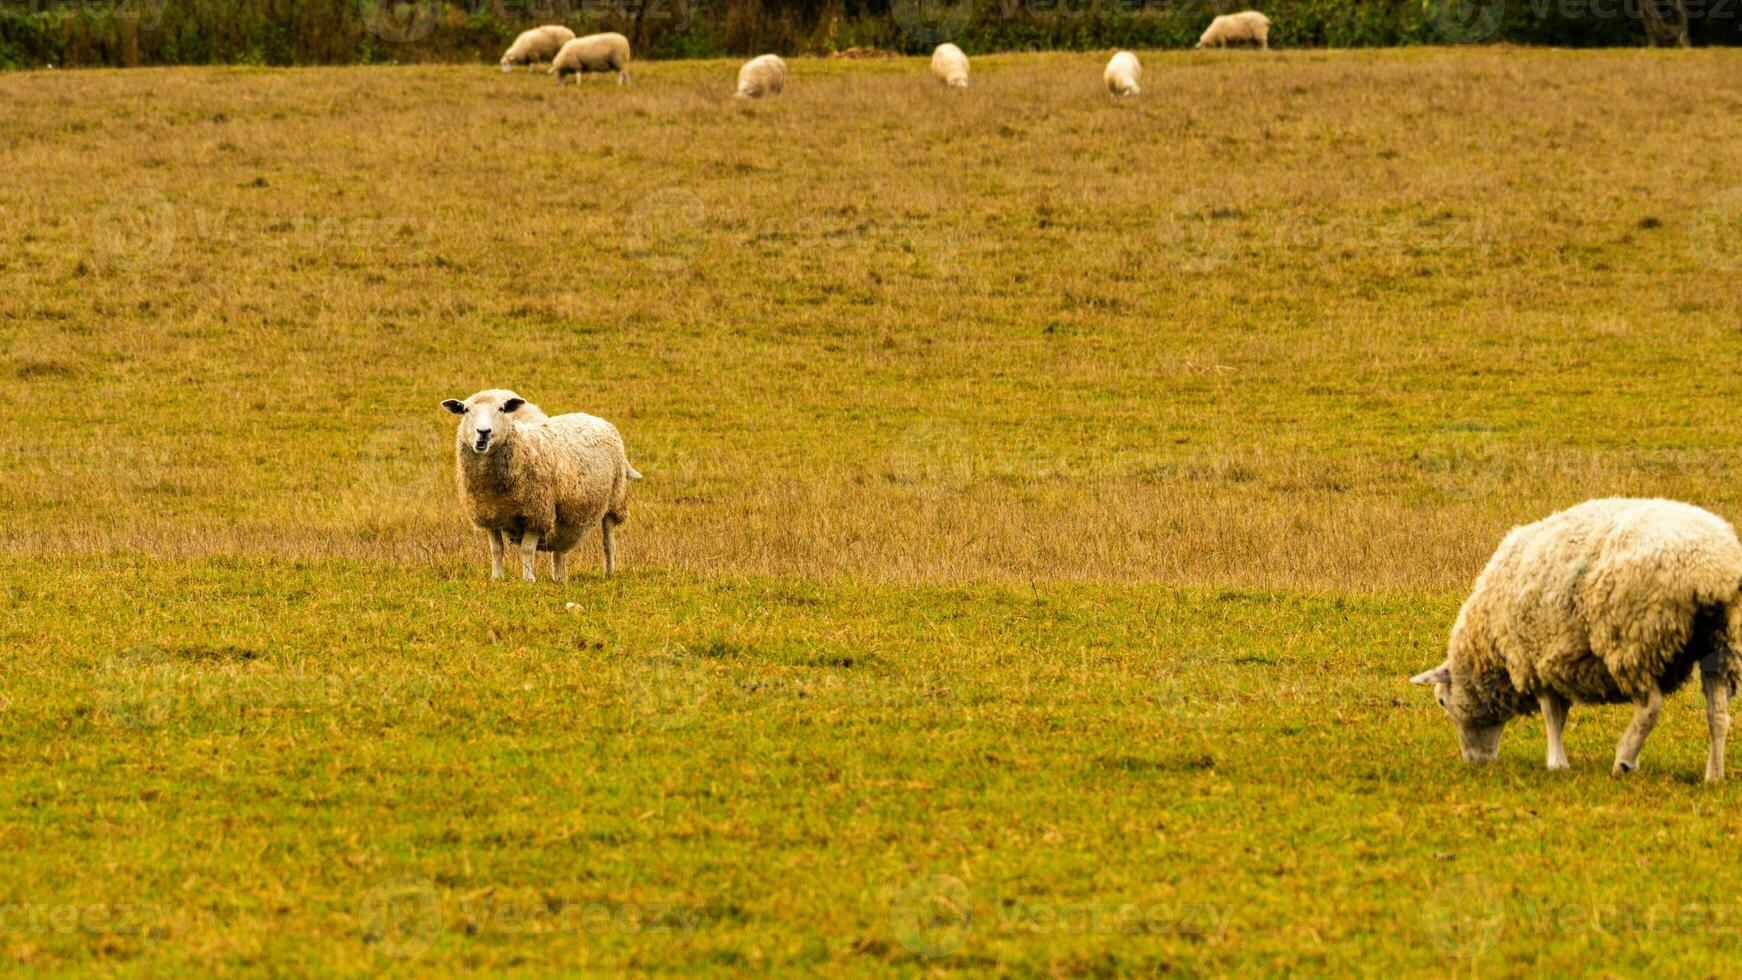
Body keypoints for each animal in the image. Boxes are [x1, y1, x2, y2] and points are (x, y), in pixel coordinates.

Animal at [438, 384, 644, 581]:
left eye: (502, 409)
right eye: (466, 410)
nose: (483, 432)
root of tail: (596, 418)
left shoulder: (536, 514)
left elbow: (527, 550)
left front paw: (528, 579)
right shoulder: (489, 516)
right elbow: (496, 550)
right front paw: (497, 577)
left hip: (614, 500)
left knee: (608, 542)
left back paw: (609, 572)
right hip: (565, 515)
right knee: (560, 548)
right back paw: (559, 578)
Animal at [1407, 497, 1742, 783]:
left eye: (1442, 701)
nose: (1474, 761)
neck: (1488, 642)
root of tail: (1712, 571)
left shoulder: (1534, 659)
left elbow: (1551, 714)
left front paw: (1556, 762)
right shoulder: (1556, 661)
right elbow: (1561, 714)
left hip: (1633, 637)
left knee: (1650, 707)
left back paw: (1624, 760)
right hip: (1720, 643)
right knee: (1718, 715)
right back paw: (1714, 774)